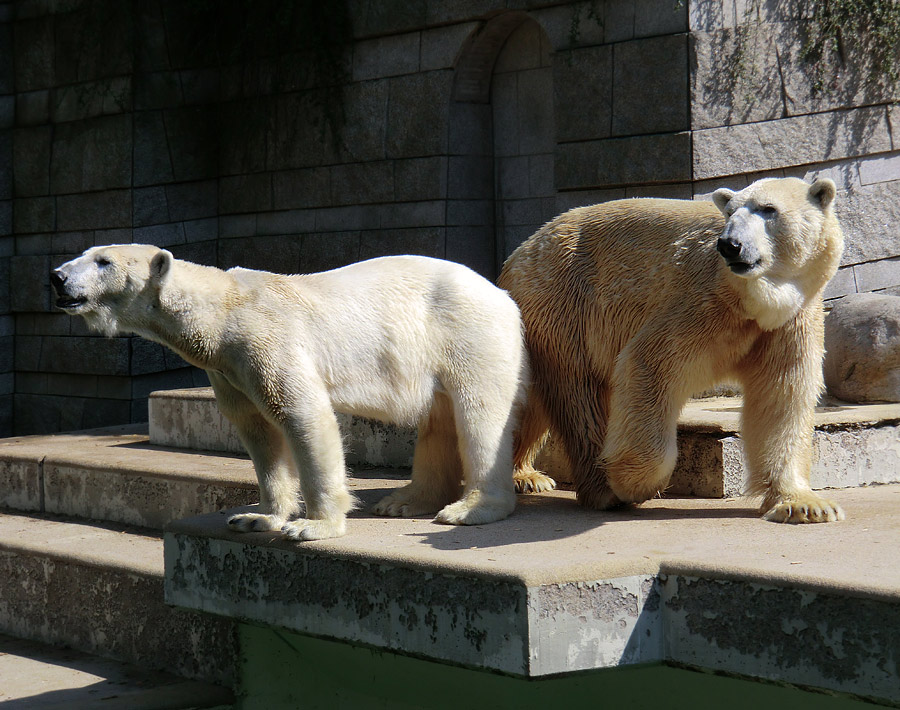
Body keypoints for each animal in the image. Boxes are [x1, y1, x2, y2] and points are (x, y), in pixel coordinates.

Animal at [51, 248, 528, 544]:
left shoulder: (267, 339)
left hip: (467, 332)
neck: (222, 311)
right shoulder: (227, 369)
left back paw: (469, 508)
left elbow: (302, 415)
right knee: (439, 417)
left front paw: (314, 527)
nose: (57, 277)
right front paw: (255, 517)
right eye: (88, 253)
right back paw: (405, 501)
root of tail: (502, 293)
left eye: (103, 260)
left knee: (479, 412)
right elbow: (257, 432)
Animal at [502, 177, 848, 524]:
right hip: (563, 303)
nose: (730, 245)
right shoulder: (702, 302)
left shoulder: (790, 322)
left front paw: (805, 505)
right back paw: (595, 489)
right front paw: (629, 481)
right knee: (577, 397)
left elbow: (782, 395)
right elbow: (649, 363)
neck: (753, 303)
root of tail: (521, 250)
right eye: (731, 212)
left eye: (768, 209)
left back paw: (528, 475)